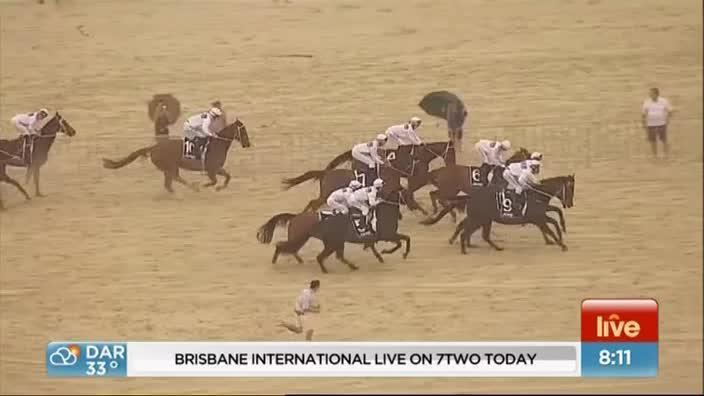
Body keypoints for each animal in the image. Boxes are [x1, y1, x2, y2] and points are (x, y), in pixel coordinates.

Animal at [102, 120, 250, 193]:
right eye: (243, 130)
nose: (247, 144)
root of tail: (154, 147)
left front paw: (220, 188)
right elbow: (214, 181)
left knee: (169, 183)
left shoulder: (217, 168)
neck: (217, 144)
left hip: (168, 168)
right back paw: (193, 187)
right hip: (171, 166)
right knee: (174, 178)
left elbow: (228, 176)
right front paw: (204, 185)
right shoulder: (211, 169)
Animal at [258, 184, 412, 274]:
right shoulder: (387, 234)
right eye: (407, 195)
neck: (385, 212)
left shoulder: (383, 235)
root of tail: (296, 216)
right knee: (284, 247)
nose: (414, 205)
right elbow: (402, 241)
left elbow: (402, 240)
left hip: (324, 241)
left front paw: (383, 254)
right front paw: (391, 252)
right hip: (309, 239)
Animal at [420, 175, 576, 252]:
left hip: (483, 220)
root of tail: (470, 196)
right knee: (469, 231)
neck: (537, 195)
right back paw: (465, 249)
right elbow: (550, 228)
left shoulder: (540, 216)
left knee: (473, 231)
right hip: (480, 219)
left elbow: (555, 219)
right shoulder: (538, 218)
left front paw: (561, 233)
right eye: (569, 189)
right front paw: (561, 244)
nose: (570, 204)